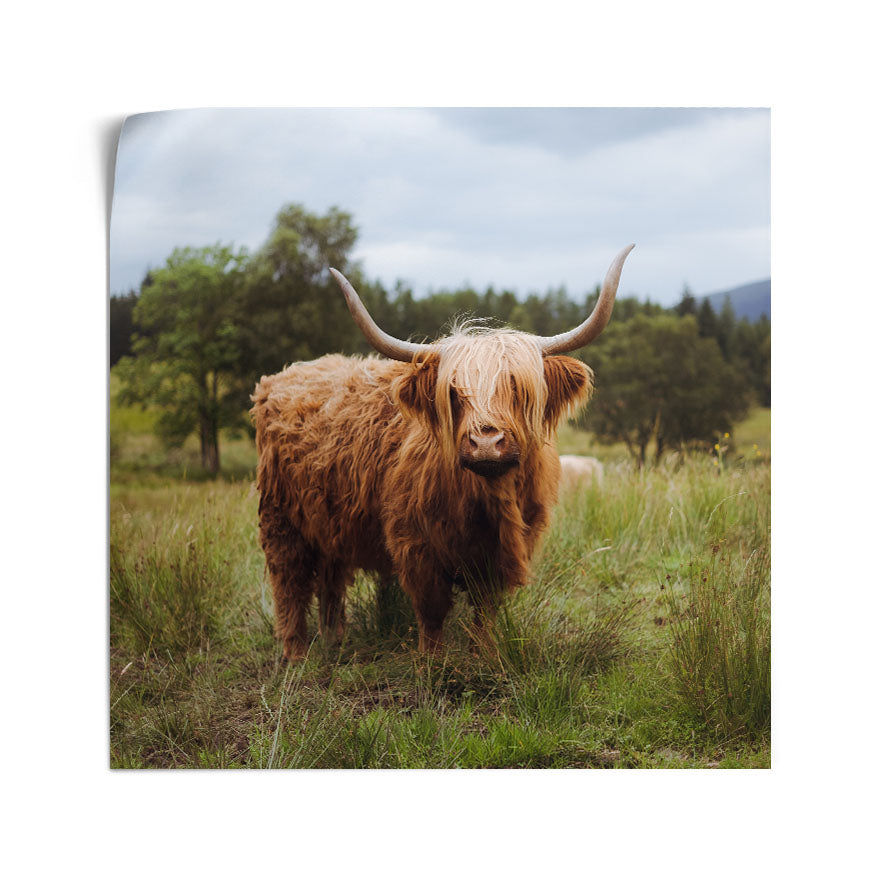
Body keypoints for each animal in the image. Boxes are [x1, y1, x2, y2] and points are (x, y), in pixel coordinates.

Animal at [251, 245, 634, 659]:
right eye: (453, 391)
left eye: (517, 387)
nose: (486, 443)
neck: (487, 501)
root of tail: (286, 374)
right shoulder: (417, 547)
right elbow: (432, 611)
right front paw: (434, 664)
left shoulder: (503, 553)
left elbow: (486, 612)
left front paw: (484, 656)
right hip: (280, 519)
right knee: (289, 584)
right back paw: (295, 655)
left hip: (329, 521)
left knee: (331, 578)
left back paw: (334, 640)